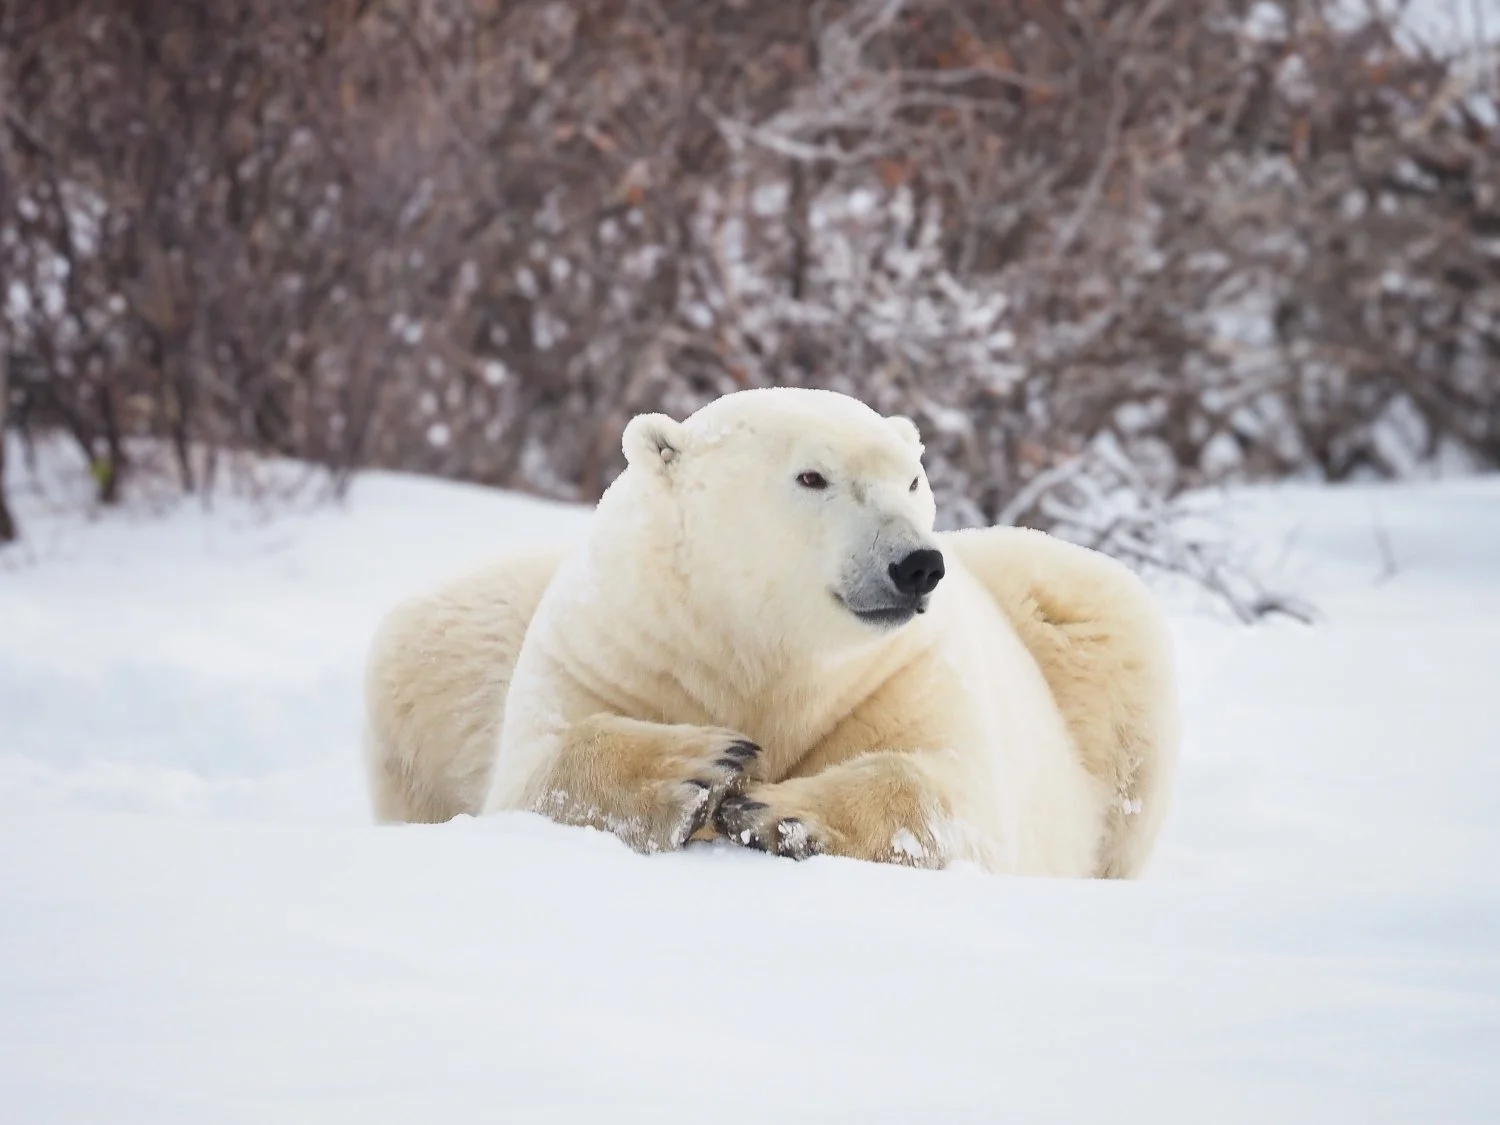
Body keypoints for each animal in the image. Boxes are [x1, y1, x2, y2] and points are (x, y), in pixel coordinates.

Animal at [362, 387, 1179, 878]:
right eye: (813, 477)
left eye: (913, 478)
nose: (916, 565)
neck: (761, 647)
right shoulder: (608, 645)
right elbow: (535, 771)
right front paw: (701, 766)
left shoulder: (906, 672)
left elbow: (957, 796)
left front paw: (775, 811)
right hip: (456, 634)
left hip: (1081, 615)